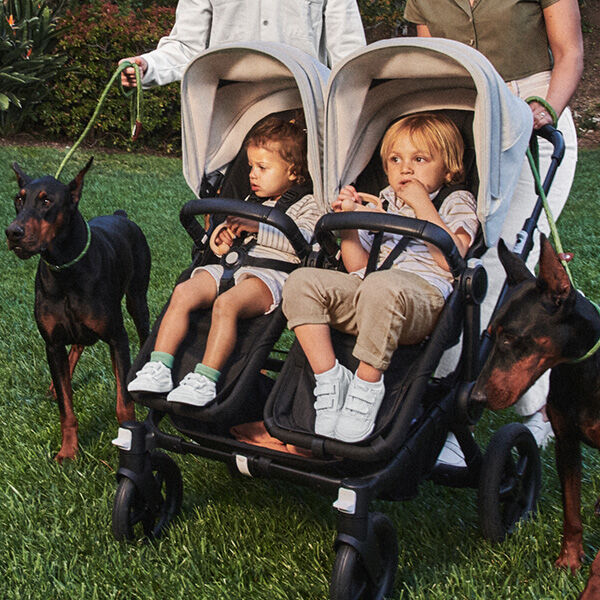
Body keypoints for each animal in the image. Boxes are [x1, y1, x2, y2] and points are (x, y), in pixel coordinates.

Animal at [5, 157, 151, 462]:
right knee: (77, 346)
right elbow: (66, 407)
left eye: (46, 200)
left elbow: (123, 403)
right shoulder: (51, 343)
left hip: (137, 300)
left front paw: (127, 442)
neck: (65, 270)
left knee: (143, 334)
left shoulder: (117, 337)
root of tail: (121, 215)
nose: (13, 232)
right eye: (18, 199)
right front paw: (68, 451)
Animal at [472, 237, 600, 596]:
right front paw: (569, 561)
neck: (582, 369)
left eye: (511, 338)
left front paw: (593, 588)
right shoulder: (566, 443)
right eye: (489, 333)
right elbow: (571, 512)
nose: (475, 397)